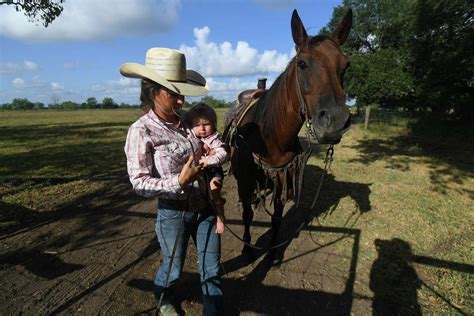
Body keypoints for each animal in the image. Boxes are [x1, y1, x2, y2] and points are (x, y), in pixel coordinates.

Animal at [225, 9, 352, 260]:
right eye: (302, 64)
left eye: (345, 65)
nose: (335, 122)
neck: (268, 139)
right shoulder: (245, 183)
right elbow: (247, 216)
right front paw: (247, 248)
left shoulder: (282, 182)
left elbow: (276, 218)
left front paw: (274, 253)